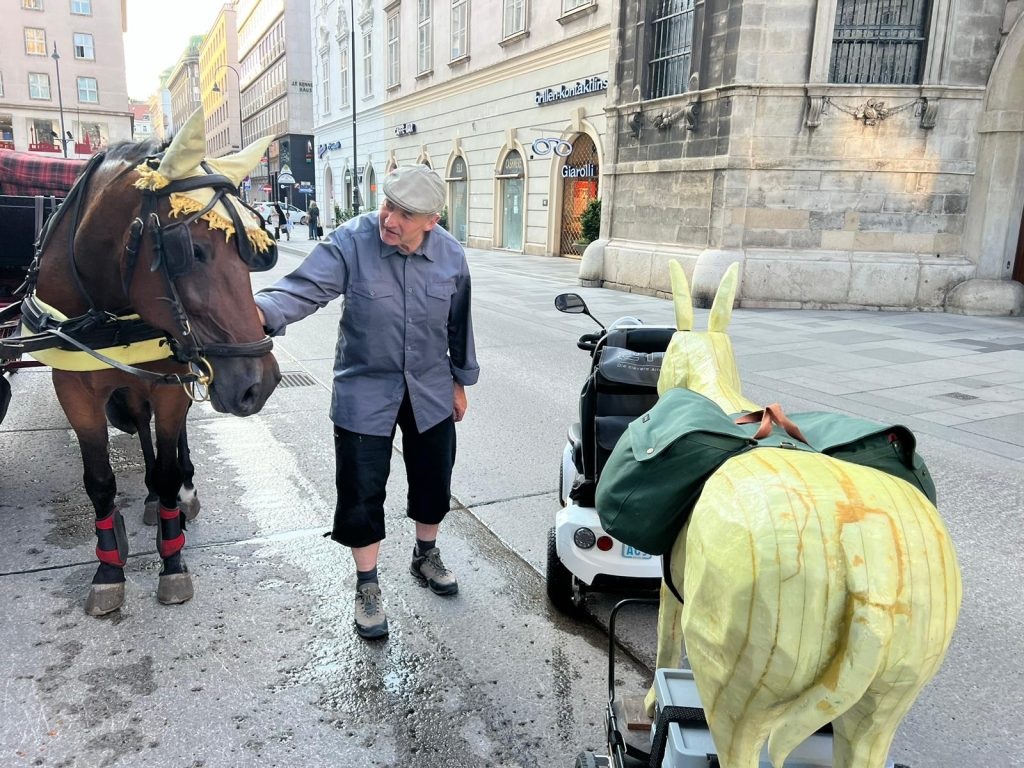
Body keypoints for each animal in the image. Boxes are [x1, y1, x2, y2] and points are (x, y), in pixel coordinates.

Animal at [25, 111, 280, 618]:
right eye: (191, 249)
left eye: (254, 246)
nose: (258, 385)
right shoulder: (74, 388)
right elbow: (99, 481)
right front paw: (108, 569)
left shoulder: (170, 380)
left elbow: (166, 467)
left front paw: (173, 556)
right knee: (140, 424)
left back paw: (182, 494)